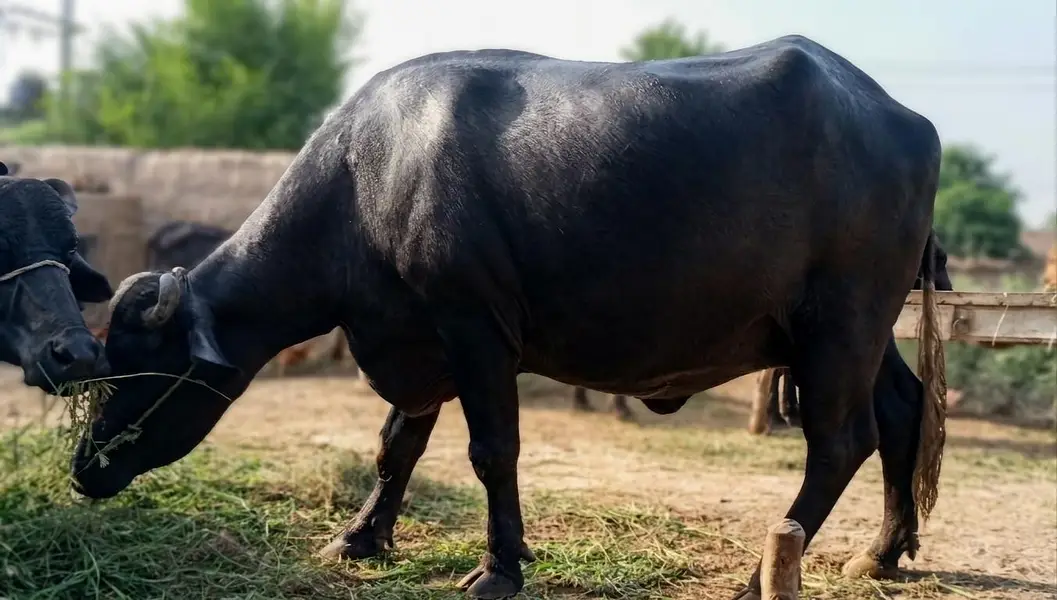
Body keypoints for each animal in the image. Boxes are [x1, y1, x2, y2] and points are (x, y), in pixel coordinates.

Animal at [71, 35, 947, 600]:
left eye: (139, 369)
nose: (84, 469)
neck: (368, 180)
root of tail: (904, 118)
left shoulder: (475, 331)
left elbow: (492, 451)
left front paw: (499, 566)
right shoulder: (415, 341)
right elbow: (395, 447)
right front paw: (360, 537)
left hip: (840, 322)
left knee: (840, 442)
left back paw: (756, 576)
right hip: (861, 330)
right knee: (901, 412)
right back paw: (881, 553)